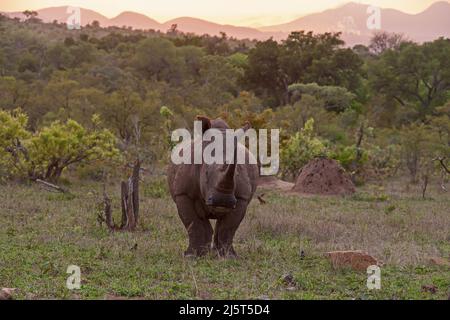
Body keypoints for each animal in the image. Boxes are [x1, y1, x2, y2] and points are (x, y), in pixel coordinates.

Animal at [168, 116, 260, 256]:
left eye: (237, 175)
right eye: (205, 173)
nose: (223, 201)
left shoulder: (241, 197)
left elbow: (228, 227)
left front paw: (229, 256)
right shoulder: (183, 193)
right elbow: (193, 223)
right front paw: (191, 255)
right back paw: (205, 252)